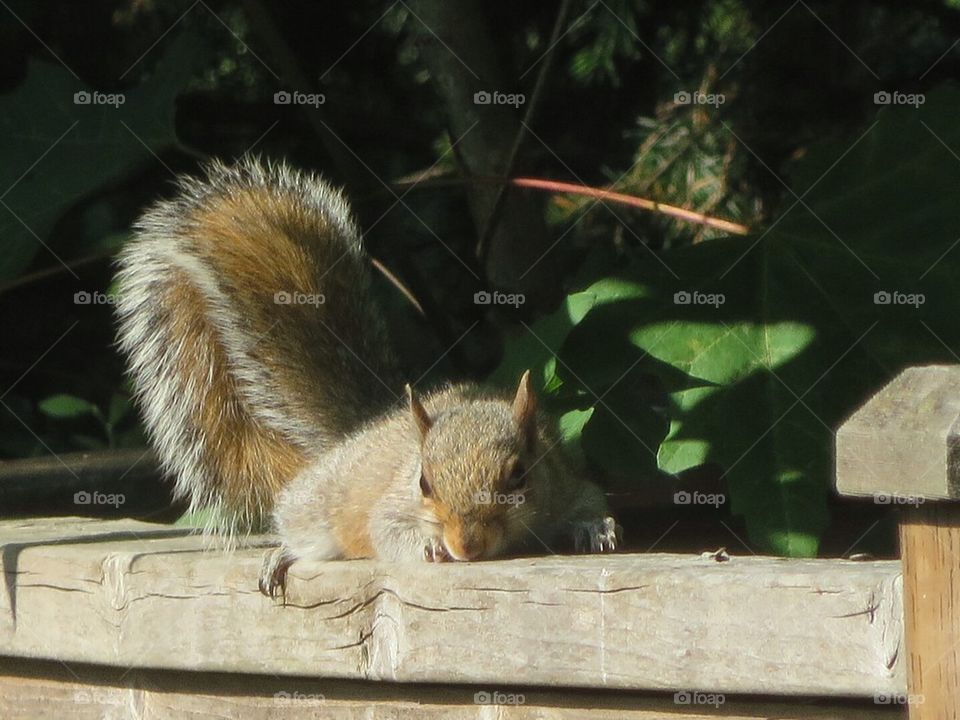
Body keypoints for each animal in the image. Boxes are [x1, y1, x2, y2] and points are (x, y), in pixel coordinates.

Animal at [114, 158, 624, 596]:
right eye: (423, 483)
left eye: (519, 475)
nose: (465, 546)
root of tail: (361, 431)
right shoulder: (392, 505)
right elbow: (387, 529)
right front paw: (428, 545)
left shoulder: (566, 481)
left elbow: (590, 502)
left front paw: (595, 529)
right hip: (319, 501)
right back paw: (282, 554)